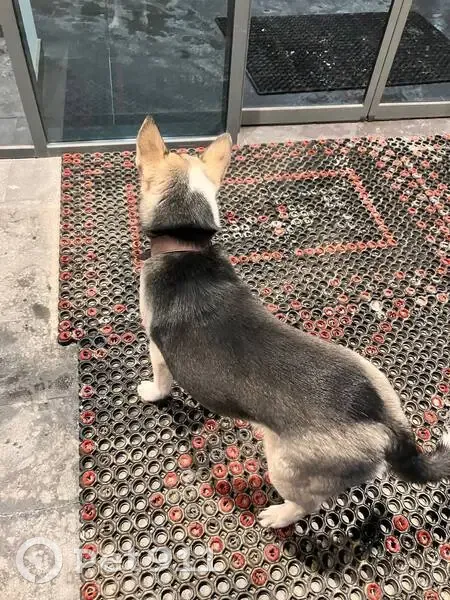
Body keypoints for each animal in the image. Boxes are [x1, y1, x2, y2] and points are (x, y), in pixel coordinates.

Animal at [136, 117, 450, 528]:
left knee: (306, 504)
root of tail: (386, 426)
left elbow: (160, 382)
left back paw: (277, 516)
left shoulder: (157, 350)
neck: (186, 244)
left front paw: (150, 393)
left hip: (283, 465)